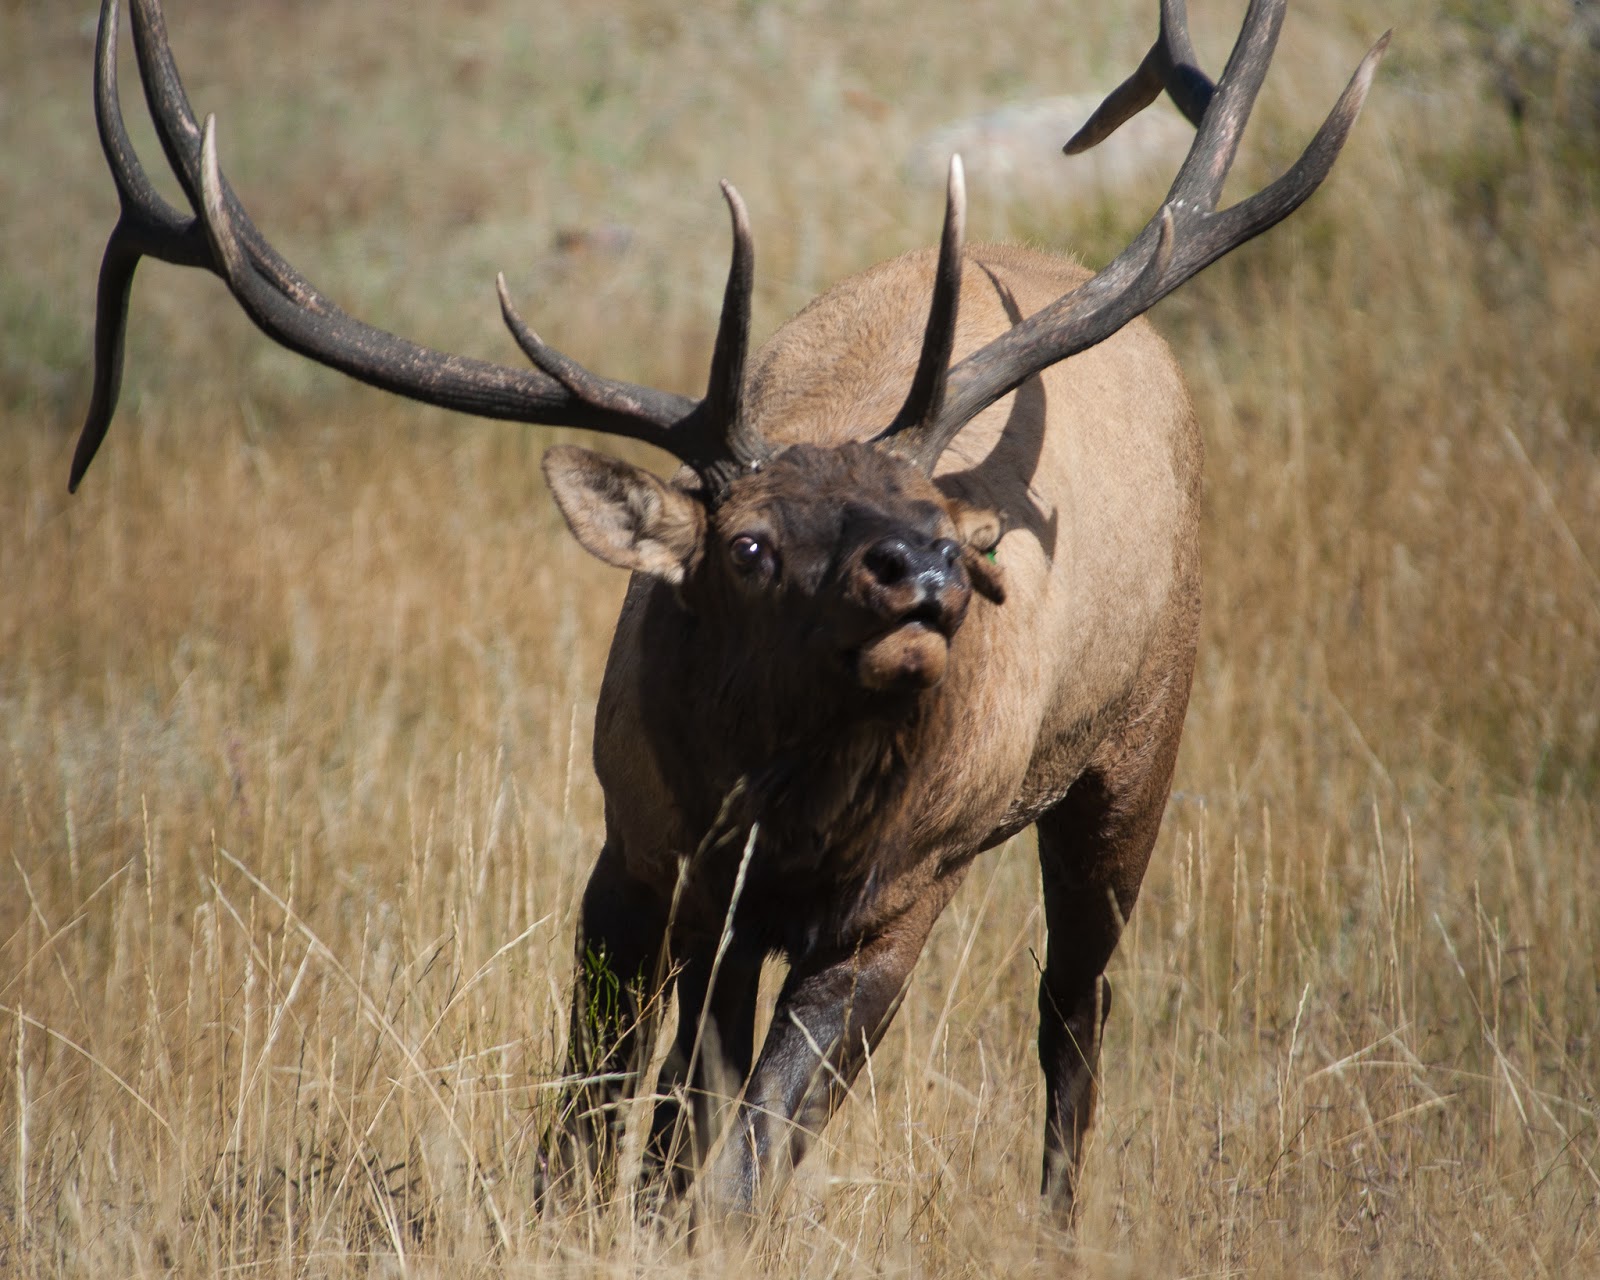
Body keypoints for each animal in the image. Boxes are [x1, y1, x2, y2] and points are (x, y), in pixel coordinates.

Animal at [74, 0, 1386, 1226]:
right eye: (749, 544)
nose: (926, 573)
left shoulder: (898, 894)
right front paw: (583, 1217)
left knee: (1073, 1010)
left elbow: (750, 1148)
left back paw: (1058, 1222)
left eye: (932, 510)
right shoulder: (641, 842)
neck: (781, 808)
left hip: (1135, 750)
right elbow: (605, 1102)